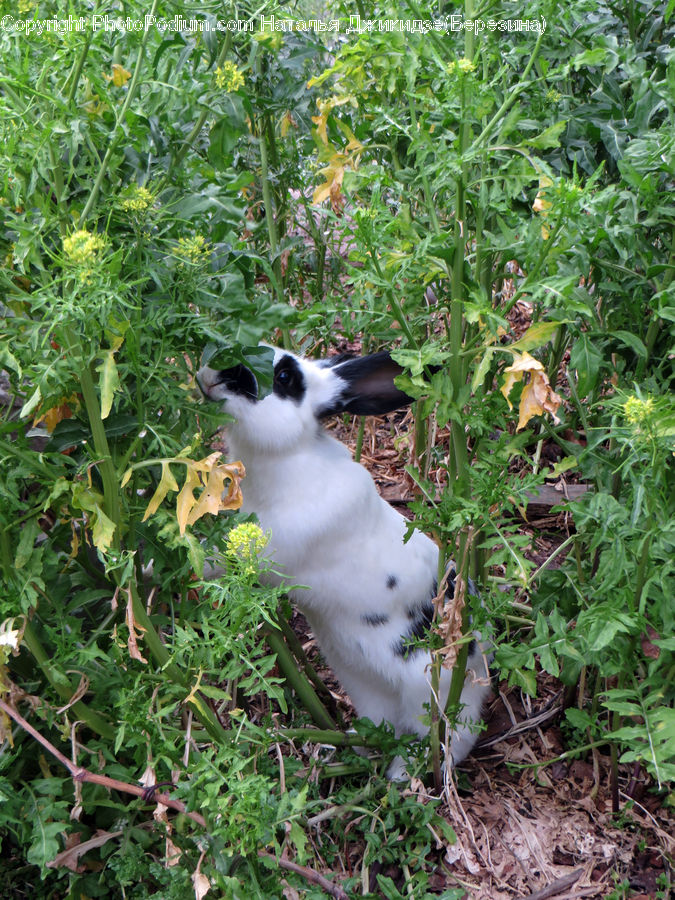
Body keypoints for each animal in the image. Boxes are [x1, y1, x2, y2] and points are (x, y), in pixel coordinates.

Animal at [197, 346, 491, 778]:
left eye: (284, 377)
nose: (215, 371)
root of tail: (484, 664)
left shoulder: (273, 552)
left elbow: (214, 558)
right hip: (363, 682)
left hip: (431, 694)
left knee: (445, 742)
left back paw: (400, 779)